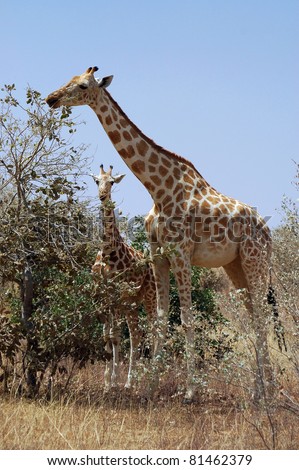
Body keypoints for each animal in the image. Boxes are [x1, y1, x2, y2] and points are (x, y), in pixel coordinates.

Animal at [91, 165, 157, 390]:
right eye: (97, 181)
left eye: (111, 182)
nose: (103, 195)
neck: (107, 252)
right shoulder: (103, 296)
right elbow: (107, 335)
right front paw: (105, 380)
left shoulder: (117, 296)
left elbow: (116, 336)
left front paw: (112, 381)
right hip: (131, 304)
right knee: (136, 334)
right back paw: (131, 381)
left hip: (149, 298)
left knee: (153, 331)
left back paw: (150, 378)